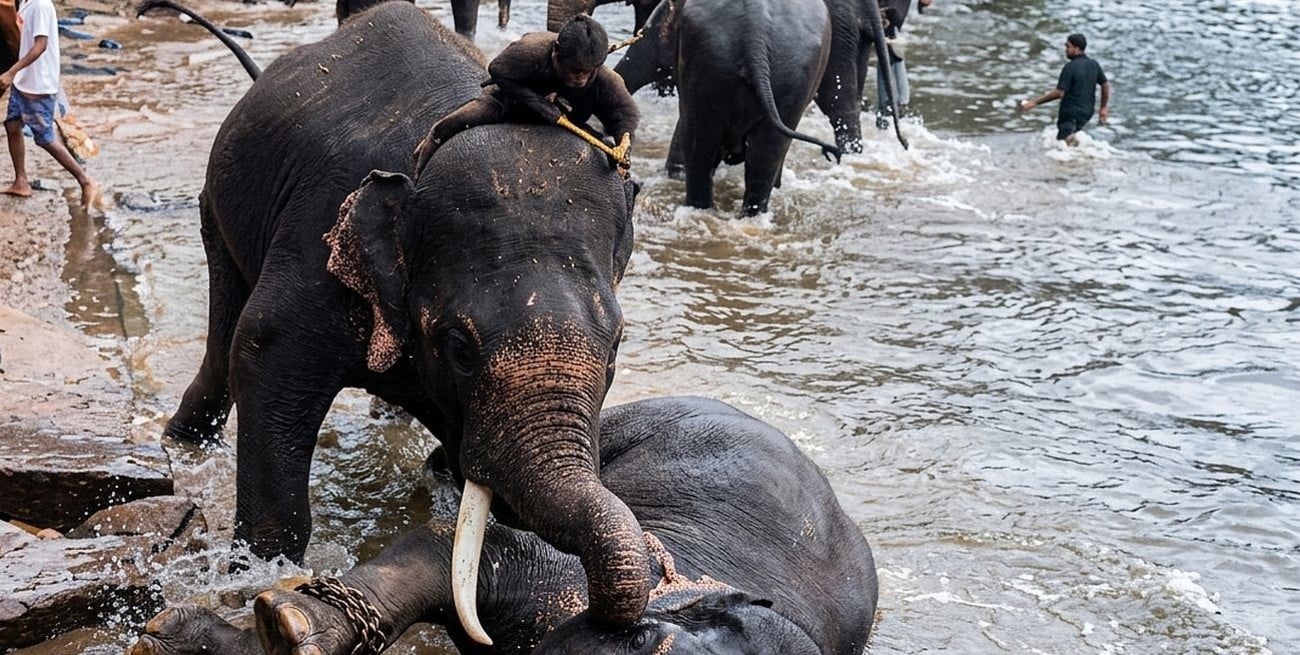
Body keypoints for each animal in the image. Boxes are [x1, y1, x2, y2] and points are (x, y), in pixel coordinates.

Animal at [142, 0, 652, 632]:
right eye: (459, 347)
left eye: (616, 347)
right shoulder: (318, 238)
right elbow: (264, 352)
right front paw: (257, 577)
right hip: (219, 203)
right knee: (226, 331)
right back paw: (185, 441)